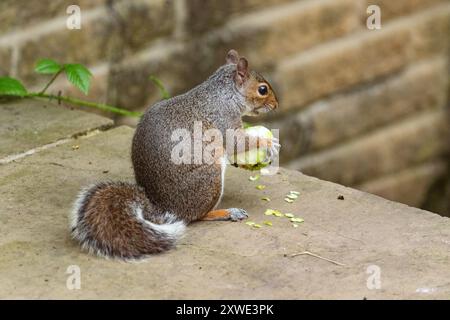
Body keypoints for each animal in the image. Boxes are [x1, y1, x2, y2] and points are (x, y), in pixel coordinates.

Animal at [71, 49, 278, 260]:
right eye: (262, 90)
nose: (276, 105)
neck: (225, 93)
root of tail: (162, 207)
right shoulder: (224, 120)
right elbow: (236, 143)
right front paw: (269, 143)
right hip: (209, 176)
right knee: (196, 216)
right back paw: (226, 213)